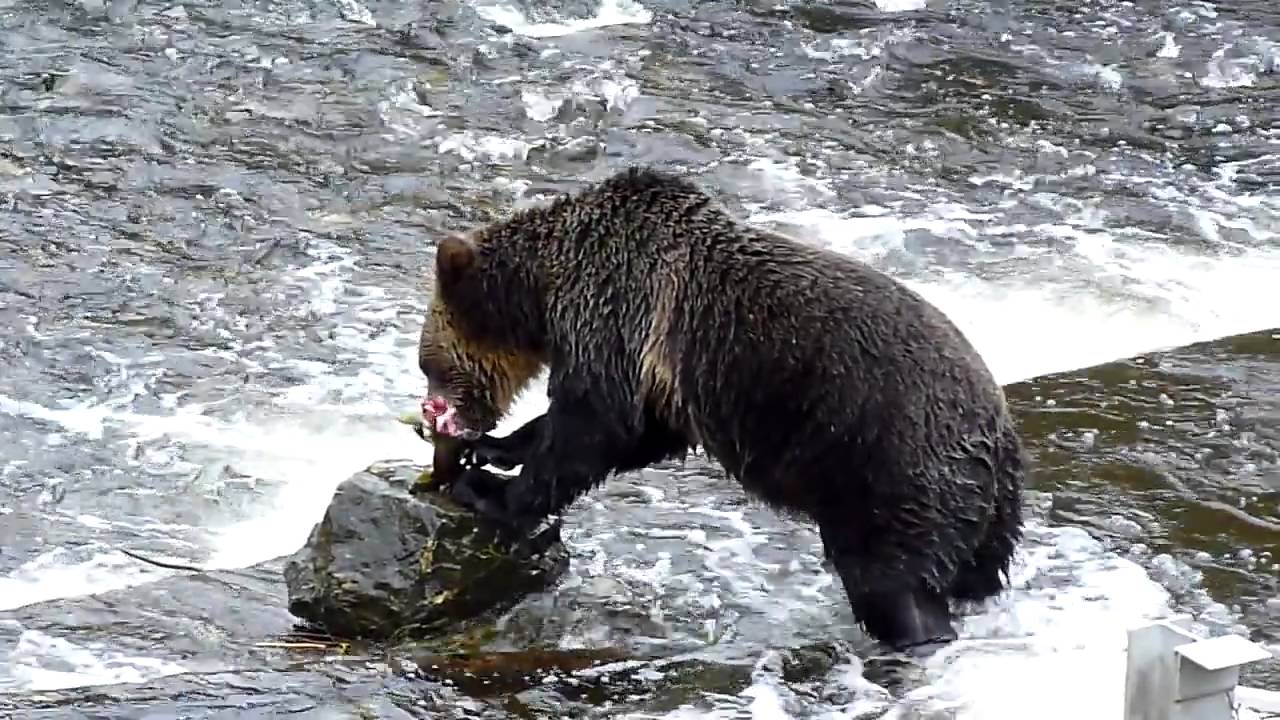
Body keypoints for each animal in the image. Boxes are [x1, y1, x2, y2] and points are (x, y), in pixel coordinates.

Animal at [415, 166, 1027, 654]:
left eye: (429, 364)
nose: (437, 420)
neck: (545, 292)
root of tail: (1000, 432)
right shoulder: (658, 376)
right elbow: (636, 432)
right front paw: (496, 450)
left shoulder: (619, 312)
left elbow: (594, 426)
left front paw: (491, 490)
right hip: (985, 509)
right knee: (974, 573)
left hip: (892, 467)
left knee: (891, 581)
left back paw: (913, 637)